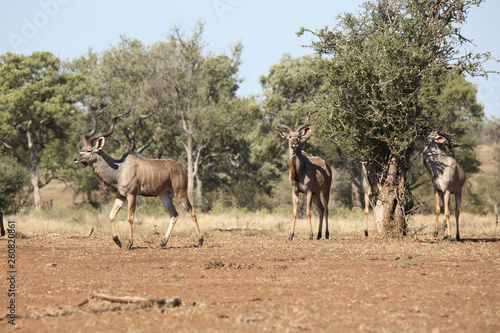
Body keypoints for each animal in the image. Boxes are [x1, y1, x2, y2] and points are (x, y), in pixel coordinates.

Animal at [73, 111, 202, 249]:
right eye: (82, 149)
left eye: (88, 150)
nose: (75, 159)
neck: (120, 168)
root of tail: (183, 168)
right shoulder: (120, 196)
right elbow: (112, 215)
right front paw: (118, 241)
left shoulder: (132, 194)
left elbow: (130, 218)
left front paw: (129, 243)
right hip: (165, 196)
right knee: (174, 215)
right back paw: (162, 243)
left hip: (180, 193)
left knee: (192, 210)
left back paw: (200, 241)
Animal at [268, 111, 334, 239]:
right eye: (289, 136)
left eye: (299, 137)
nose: (294, 144)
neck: (300, 172)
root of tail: (327, 165)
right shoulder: (295, 191)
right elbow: (294, 212)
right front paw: (290, 235)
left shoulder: (308, 191)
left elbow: (308, 212)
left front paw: (310, 235)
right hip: (316, 193)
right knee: (321, 209)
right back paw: (319, 235)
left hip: (325, 190)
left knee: (326, 209)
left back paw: (326, 234)